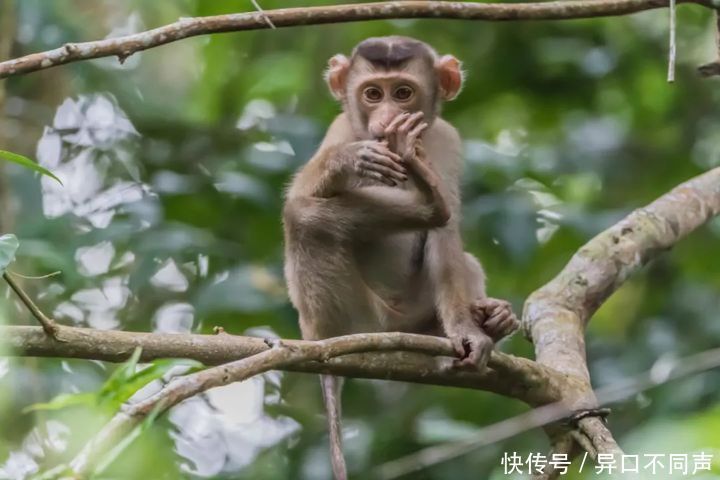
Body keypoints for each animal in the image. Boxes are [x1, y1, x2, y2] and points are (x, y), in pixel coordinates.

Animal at [282, 35, 516, 478]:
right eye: (373, 94)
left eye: (403, 93)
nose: (389, 119)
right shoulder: (342, 131)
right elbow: (300, 196)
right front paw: (350, 161)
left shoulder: (447, 139)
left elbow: (448, 239)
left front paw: (469, 331)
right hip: (360, 319)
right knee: (302, 218)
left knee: (461, 257)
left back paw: (490, 320)